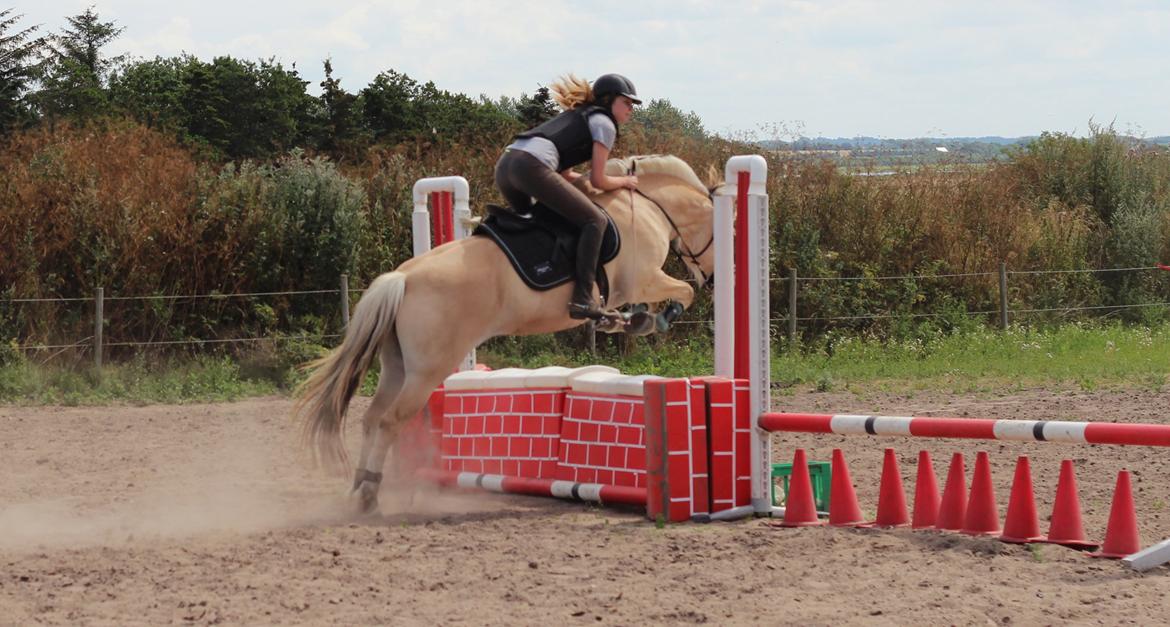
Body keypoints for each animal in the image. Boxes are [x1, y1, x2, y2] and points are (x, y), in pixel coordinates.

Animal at [292, 154, 716, 512]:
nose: (712, 278)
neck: (649, 207)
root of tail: (402, 278)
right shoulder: (644, 278)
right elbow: (682, 292)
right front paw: (656, 319)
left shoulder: (637, 286)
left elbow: (652, 304)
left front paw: (629, 320)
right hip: (427, 371)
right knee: (389, 421)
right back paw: (369, 496)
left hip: (397, 366)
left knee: (371, 418)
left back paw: (360, 486)